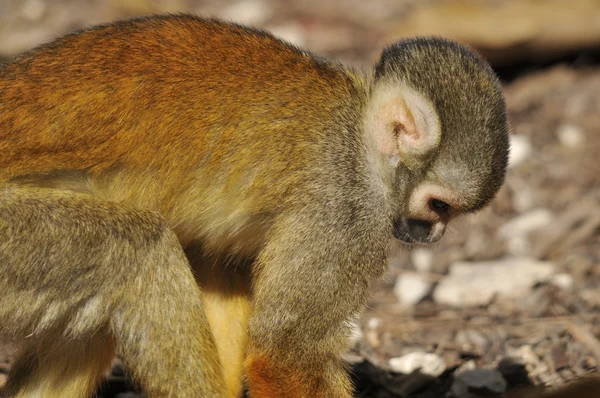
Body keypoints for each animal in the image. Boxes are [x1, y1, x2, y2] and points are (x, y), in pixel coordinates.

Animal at [0, 14, 508, 398]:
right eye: (439, 206)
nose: (432, 234)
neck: (360, 138)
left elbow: (217, 267)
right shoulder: (345, 205)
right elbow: (285, 353)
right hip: (13, 239)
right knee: (137, 249)